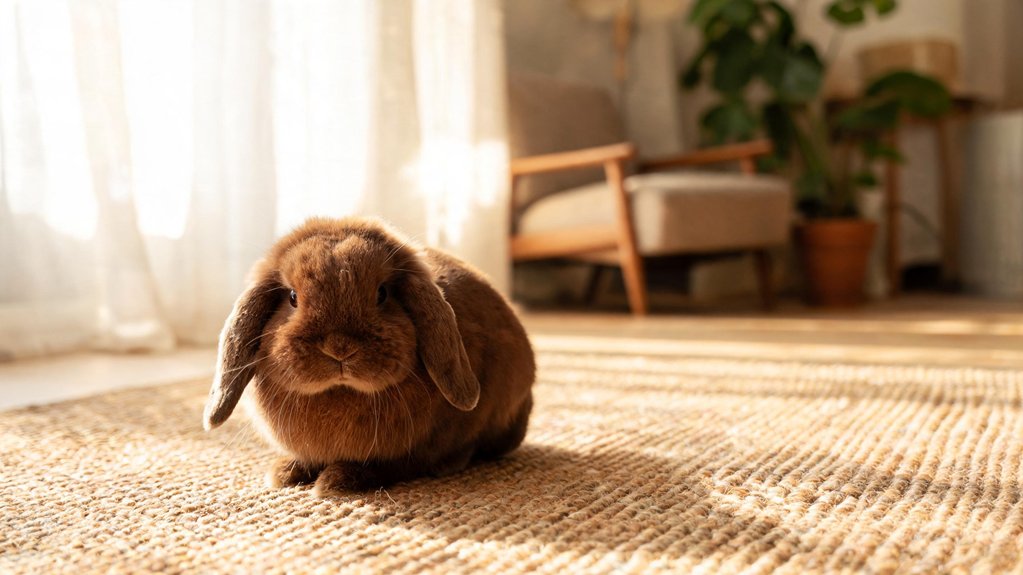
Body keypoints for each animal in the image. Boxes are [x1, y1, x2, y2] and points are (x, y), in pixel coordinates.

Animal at [203, 216, 535, 496]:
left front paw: (338, 480)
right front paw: (285, 472)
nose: (339, 348)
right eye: (293, 298)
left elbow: (396, 465)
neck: (339, 393)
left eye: (382, 293)